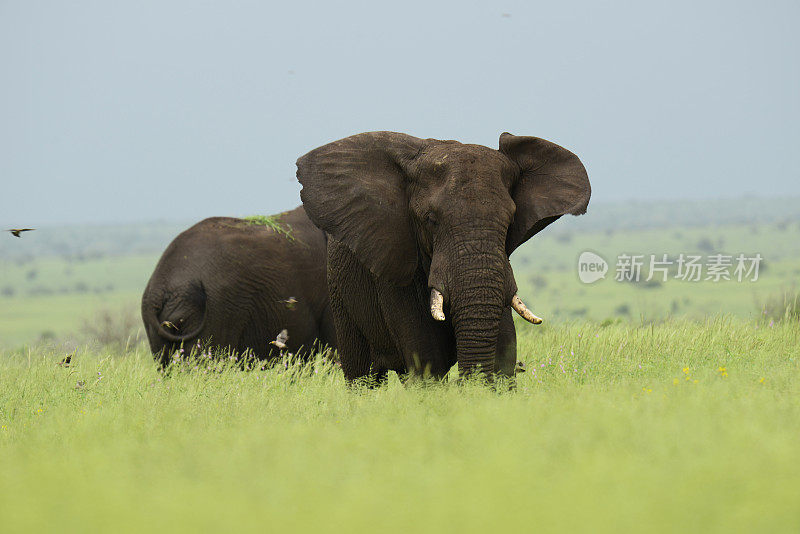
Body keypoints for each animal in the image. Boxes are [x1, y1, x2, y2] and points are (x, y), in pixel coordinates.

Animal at [296, 134, 592, 386]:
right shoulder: (398, 273)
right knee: (363, 377)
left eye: (510, 221)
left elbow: (503, 355)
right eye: (430, 220)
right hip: (340, 292)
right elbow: (428, 362)